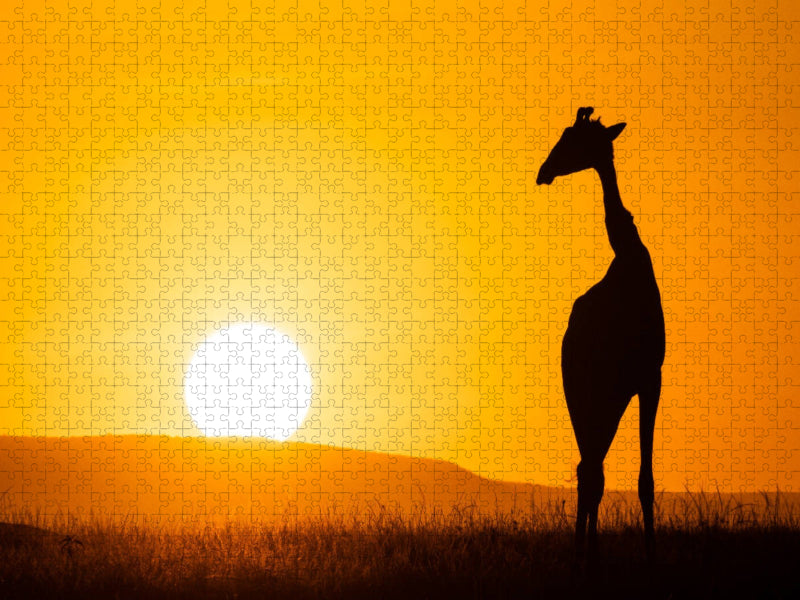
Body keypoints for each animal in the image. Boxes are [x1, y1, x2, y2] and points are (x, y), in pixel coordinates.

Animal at [537, 107, 665, 561]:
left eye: (572, 138)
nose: (544, 172)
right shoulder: (630, 381)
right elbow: (624, 476)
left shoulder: (649, 379)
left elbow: (645, 478)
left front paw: (650, 553)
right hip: (580, 389)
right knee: (588, 466)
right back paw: (583, 553)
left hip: (605, 396)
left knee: (593, 465)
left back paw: (590, 550)